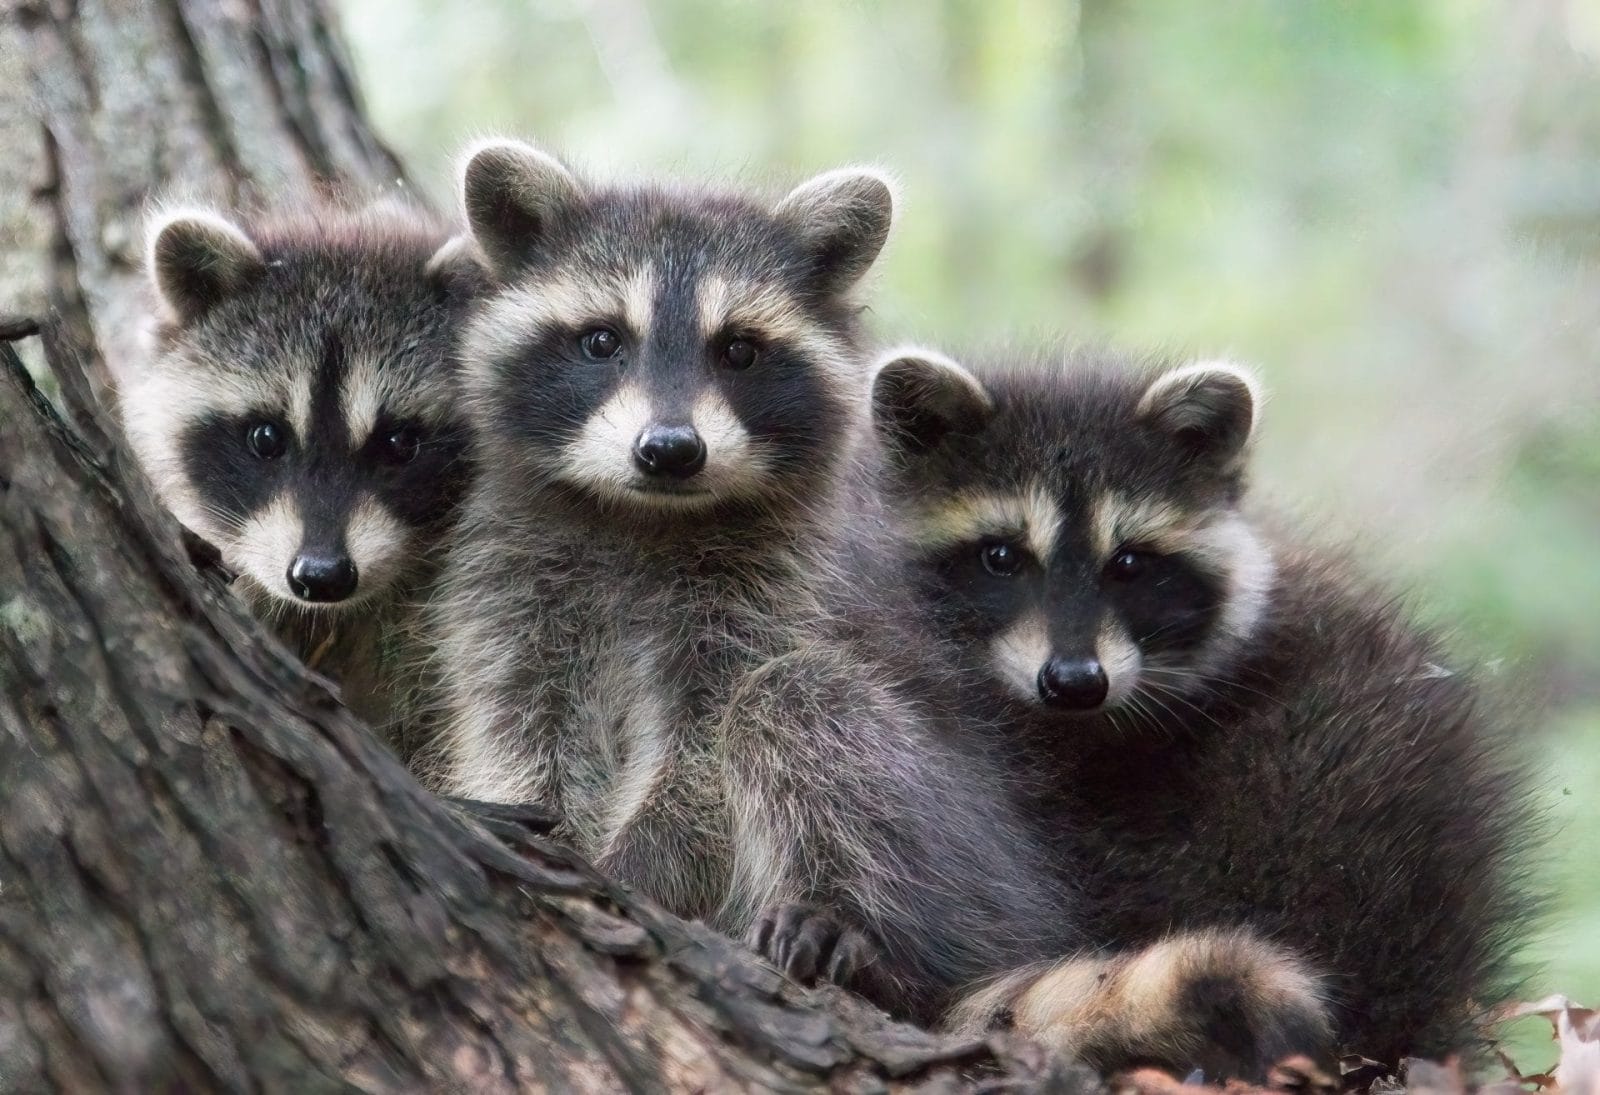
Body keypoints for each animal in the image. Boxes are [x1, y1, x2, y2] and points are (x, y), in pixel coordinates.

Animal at [425, 139, 1085, 1023]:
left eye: (737, 349)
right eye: (601, 341)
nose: (670, 449)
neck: (644, 517)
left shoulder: (776, 585)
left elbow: (706, 746)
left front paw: (639, 866)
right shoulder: (509, 579)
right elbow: (523, 726)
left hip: (973, 862)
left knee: (798, 704)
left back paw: (855, 930)